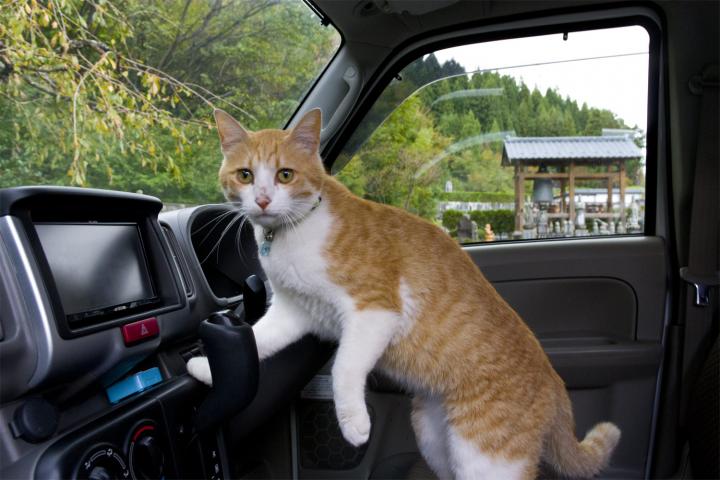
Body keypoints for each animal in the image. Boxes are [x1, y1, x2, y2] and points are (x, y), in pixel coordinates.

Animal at [186, 109, 620, 480]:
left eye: (285, 175)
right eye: (245, 175)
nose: (261, 200)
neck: (298, 229)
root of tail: (554, 383)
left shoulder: (375, 309)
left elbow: (345, 367)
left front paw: (354, 422)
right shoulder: (292, 311)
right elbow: (257, 339)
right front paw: (206, 368)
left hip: (487, 458)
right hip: (434, 435)